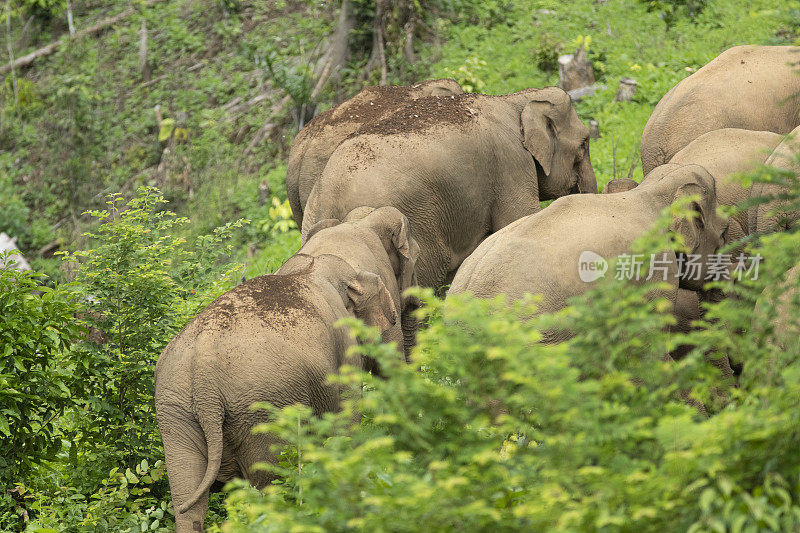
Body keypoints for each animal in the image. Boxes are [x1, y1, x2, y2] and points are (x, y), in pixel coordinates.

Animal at [153, 206, 422, 528]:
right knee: (271, 481)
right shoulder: (342, 344)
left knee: (187, 494)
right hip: (261, 407)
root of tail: (203, 374)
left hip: (175, 411)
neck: (318, 266)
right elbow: (348, 413)